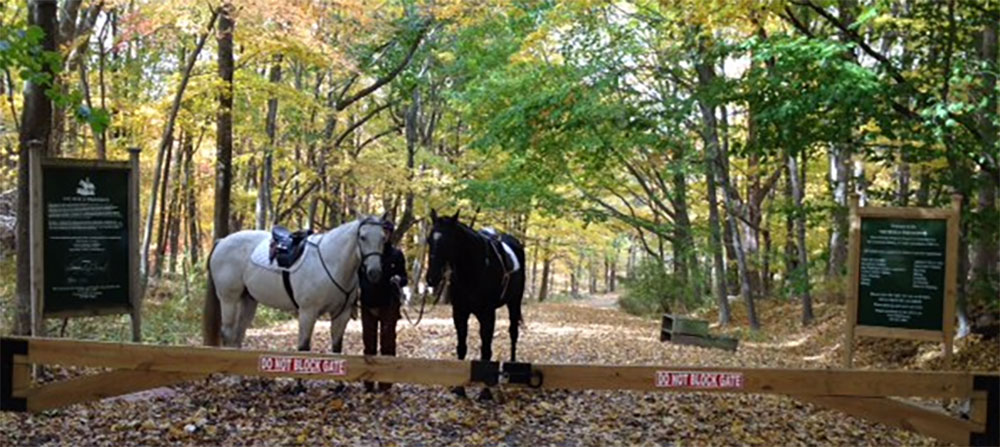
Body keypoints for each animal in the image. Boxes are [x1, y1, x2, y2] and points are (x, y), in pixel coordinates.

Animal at [203, 215, 386, 356]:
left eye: (383, 238)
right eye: (362, 237)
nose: (374, 272)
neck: (331, 260)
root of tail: (222, 241)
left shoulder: (342, 314)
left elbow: (336, 348)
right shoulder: (308, 312)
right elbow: (303, 348)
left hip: (248, 299)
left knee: (238, 335)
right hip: (229, 298)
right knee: (228, 333)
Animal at [426, 210, 528, 400]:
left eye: (448, 241)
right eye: (429, 239)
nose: (431, 278)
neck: (473, 270)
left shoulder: (487, 314)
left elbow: (486, 351)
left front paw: (485, 391)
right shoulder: (459, 313)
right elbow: (461, 347)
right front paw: (460, 389)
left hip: (514, 302)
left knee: (513, 333)